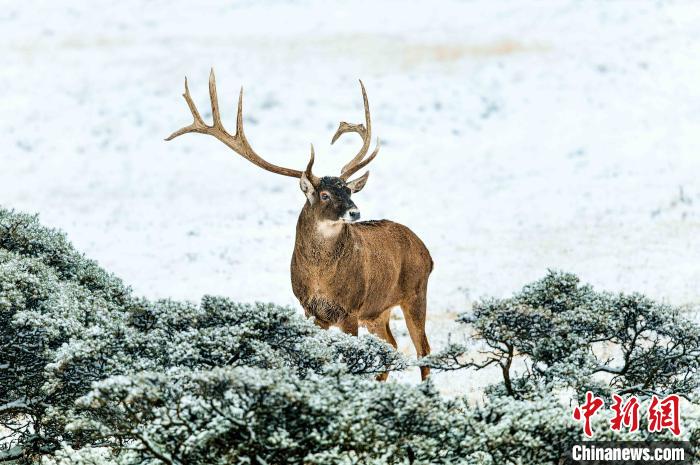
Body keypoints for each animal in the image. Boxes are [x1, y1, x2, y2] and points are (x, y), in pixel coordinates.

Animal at [166, 70, 433, 380]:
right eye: (325, 194)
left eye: (349, 191)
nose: (355, 212)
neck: (320, 279)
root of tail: (427, 252)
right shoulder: (311, 310)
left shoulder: (350, 309)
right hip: (378, 311)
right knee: (391, 345)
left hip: (415, 292)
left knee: (423, 349)